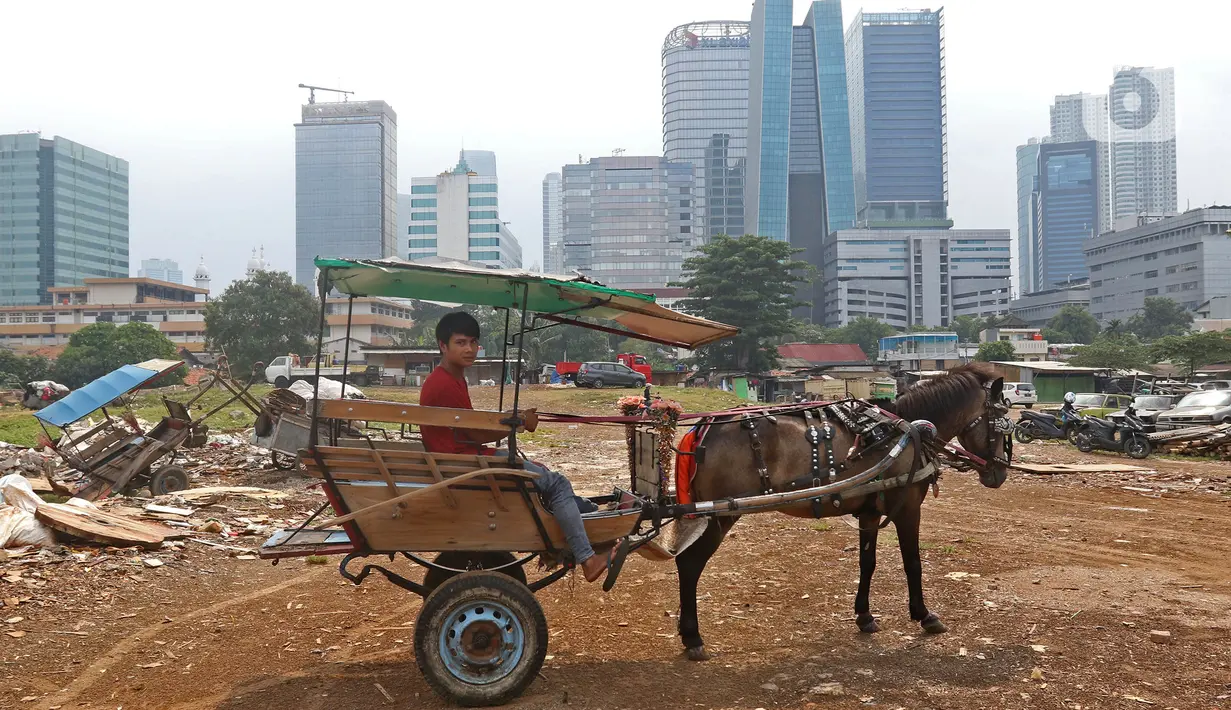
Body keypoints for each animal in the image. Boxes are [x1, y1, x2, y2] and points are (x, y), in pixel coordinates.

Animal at [674, 361, 1009, 659]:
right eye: (1002, 423)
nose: (1000, 474)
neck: (908, 429)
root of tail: (704, 428)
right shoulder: (908, 509)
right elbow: (913, 563)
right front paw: (924, 615)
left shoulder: (870, 513)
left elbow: (867, 563)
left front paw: (865, 616)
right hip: (720, 515)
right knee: (689, 564)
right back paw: (692, 637)